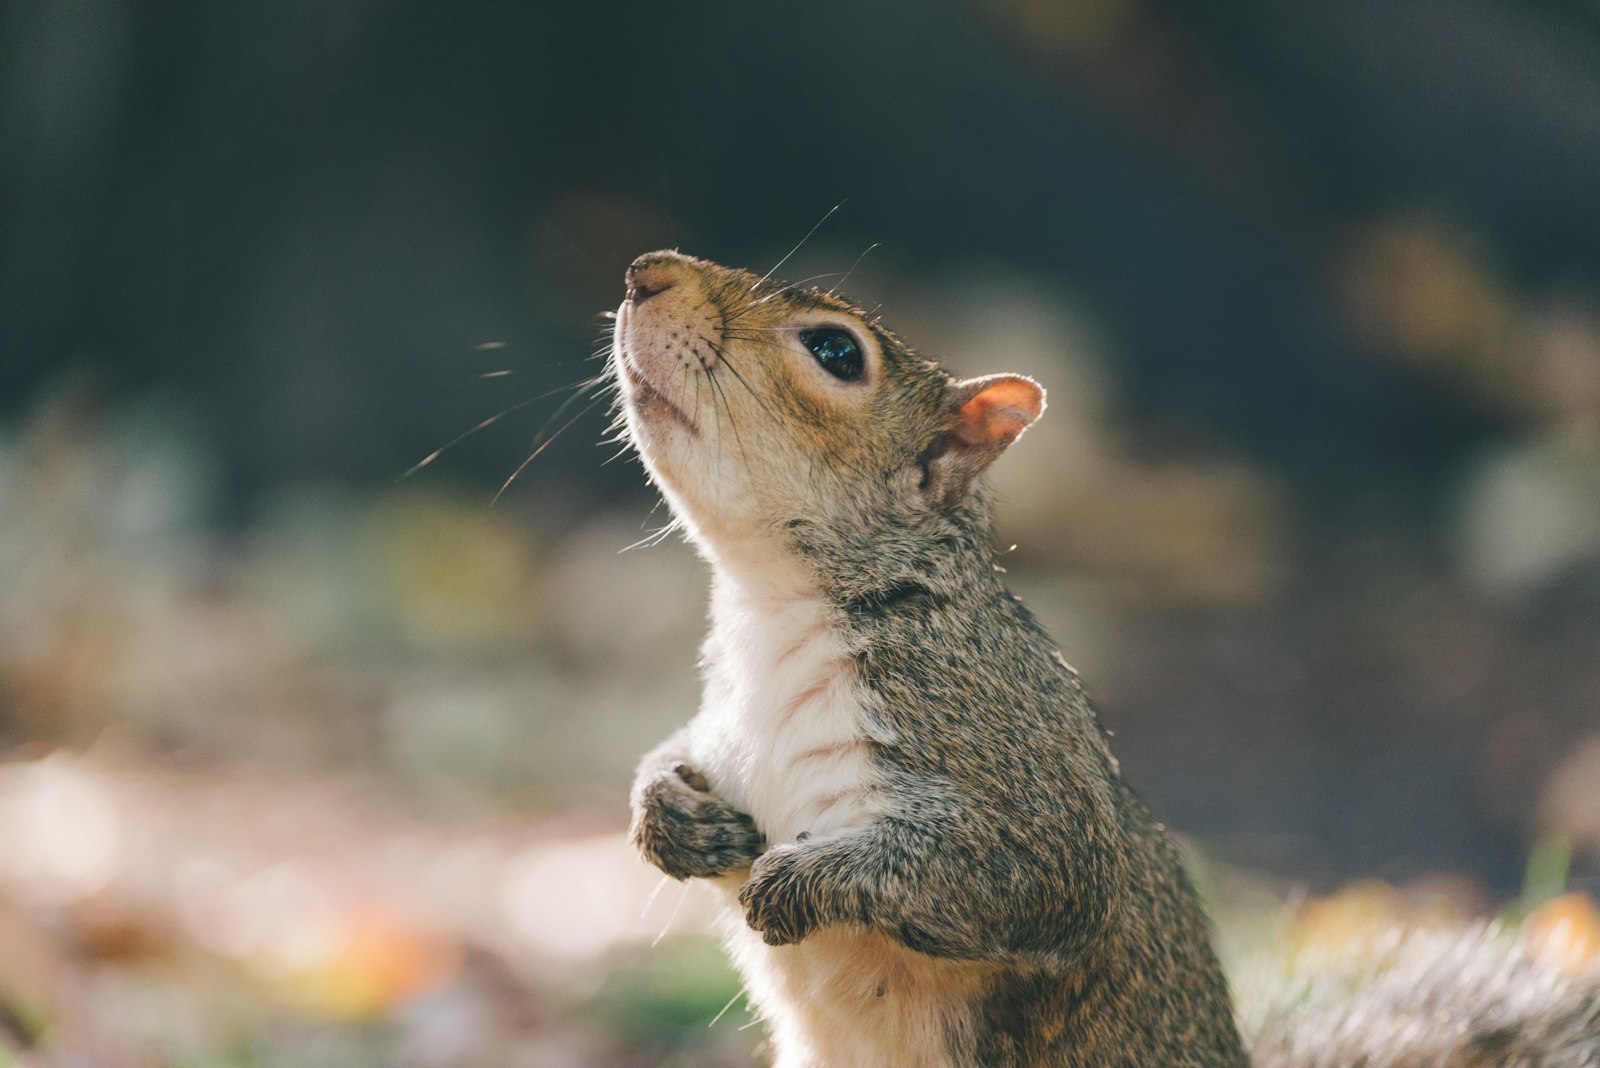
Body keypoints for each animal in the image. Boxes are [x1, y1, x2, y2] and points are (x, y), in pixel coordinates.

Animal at [611, 252, 1600, 1068]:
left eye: (836, 352)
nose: (644, 273)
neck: (776, 612)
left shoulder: (996, 741)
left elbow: (1028, 875)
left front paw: (795, 885)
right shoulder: (725, 718)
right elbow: (674, 755)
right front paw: (670, 816)